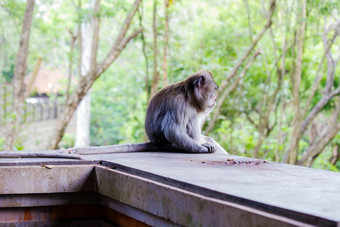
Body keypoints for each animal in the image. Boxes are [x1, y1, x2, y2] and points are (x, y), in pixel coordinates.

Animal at [0, 69, 228, 160]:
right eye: (214, 90)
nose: (215, 100)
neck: (189, 97)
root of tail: (155, 142)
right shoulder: (179, 105)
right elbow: (174, 131)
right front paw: (201, 148)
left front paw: (208, 144)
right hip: (168, 142)